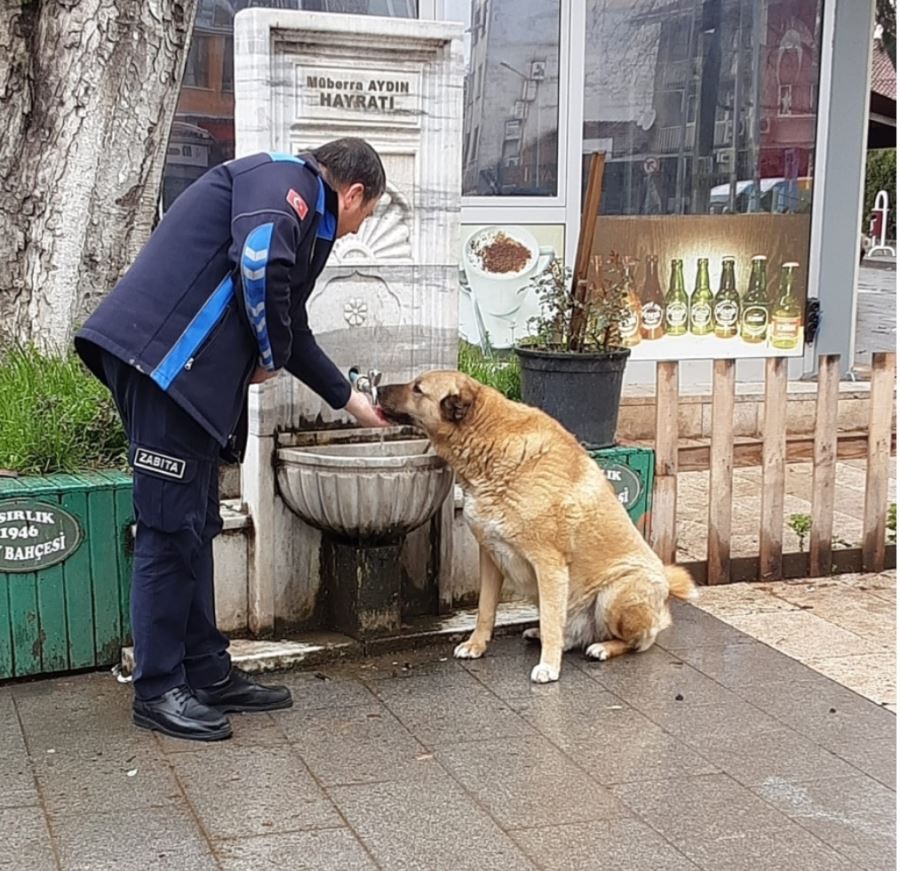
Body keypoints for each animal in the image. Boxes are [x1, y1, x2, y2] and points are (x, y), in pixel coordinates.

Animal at [378, 372, 696, 684]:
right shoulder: (490, 556)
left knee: (639, 641)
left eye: (417, 389)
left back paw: (602, 647)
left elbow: (552, 621)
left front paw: (549, 667)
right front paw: (477, 645)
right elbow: (485, 610)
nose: (377, 388)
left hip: (616, 593)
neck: (490, 442)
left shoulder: (549, 564)